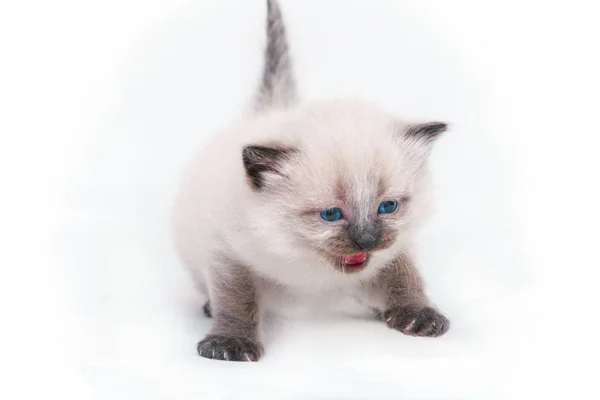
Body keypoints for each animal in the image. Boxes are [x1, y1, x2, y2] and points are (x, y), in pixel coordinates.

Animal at [171, 0, 448, 362]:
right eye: (330, 214)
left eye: (387, 206)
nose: (367, 241)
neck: (309, 264)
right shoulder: (227, 252)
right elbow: (236, 299)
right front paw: (230, 343)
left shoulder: (396, 248)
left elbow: (404, 276)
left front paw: (418, 315)